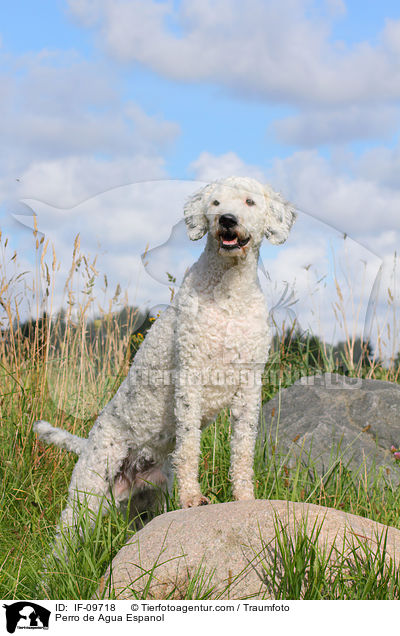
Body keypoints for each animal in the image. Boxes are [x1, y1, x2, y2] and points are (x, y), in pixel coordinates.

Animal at [34, 174, 296, 552]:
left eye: (249, 202)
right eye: (215, 203)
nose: (227, 220)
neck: (229, 293)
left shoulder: (250, 385)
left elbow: (243, 450)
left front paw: (245, 497)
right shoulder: (189, 375)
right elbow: (188, 446)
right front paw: (192, 499)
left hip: (144, 505)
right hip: (87, 493)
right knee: (63, 543)